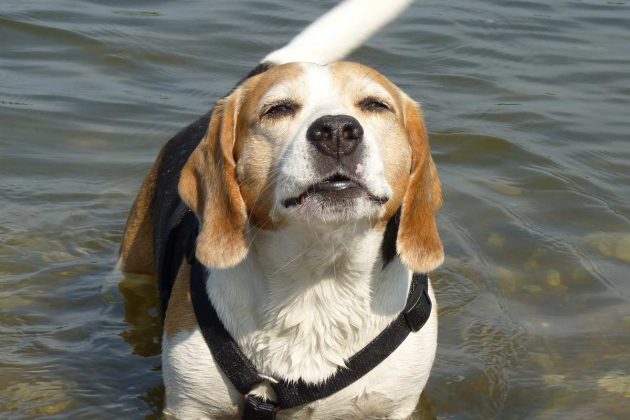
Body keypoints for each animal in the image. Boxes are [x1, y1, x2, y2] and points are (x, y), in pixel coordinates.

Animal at [119, 0, 444, 416]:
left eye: (376, 105)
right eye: (278, 109)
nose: (337, 131)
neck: (318, 275)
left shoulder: (396, 406)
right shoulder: (189, 406)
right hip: (132, 267)